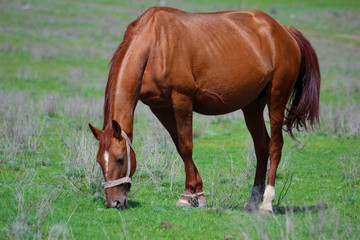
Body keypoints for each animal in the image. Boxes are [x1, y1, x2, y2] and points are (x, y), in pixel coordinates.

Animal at [88, 6, 320, 214]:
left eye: (120, 158)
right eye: (99, 161)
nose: (114, 202)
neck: (155, 45)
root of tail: (284, 30)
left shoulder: (182, 100)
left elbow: (186, 146)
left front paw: (186, 196)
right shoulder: (160, 107)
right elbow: (179, 146)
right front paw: (198, 194)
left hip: (276, 99)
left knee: (275, 146)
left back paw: (266, 202)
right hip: (252, 106)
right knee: (261, 146)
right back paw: (253, 201)